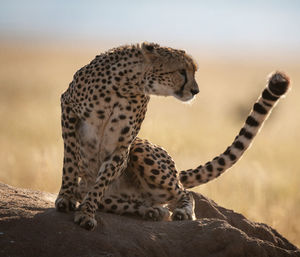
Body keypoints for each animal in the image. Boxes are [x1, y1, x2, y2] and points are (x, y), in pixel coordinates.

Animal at [55, 41, 200, 228]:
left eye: (193, 71)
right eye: (181, 71)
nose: (196, 91)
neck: (126, 84)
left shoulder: (122, 145)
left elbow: (102, 181)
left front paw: (86, 213)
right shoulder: (68, 106)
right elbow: (70, 159)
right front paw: (66, 197)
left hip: (140, 149)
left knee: (184, 192)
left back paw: (180, 212)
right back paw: (153, 211)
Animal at [73, 71, 290, 222]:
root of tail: (176, 172)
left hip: (141, 150)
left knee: (184, 192)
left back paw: (180, 213)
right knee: (131, 202)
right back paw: (152, 211)